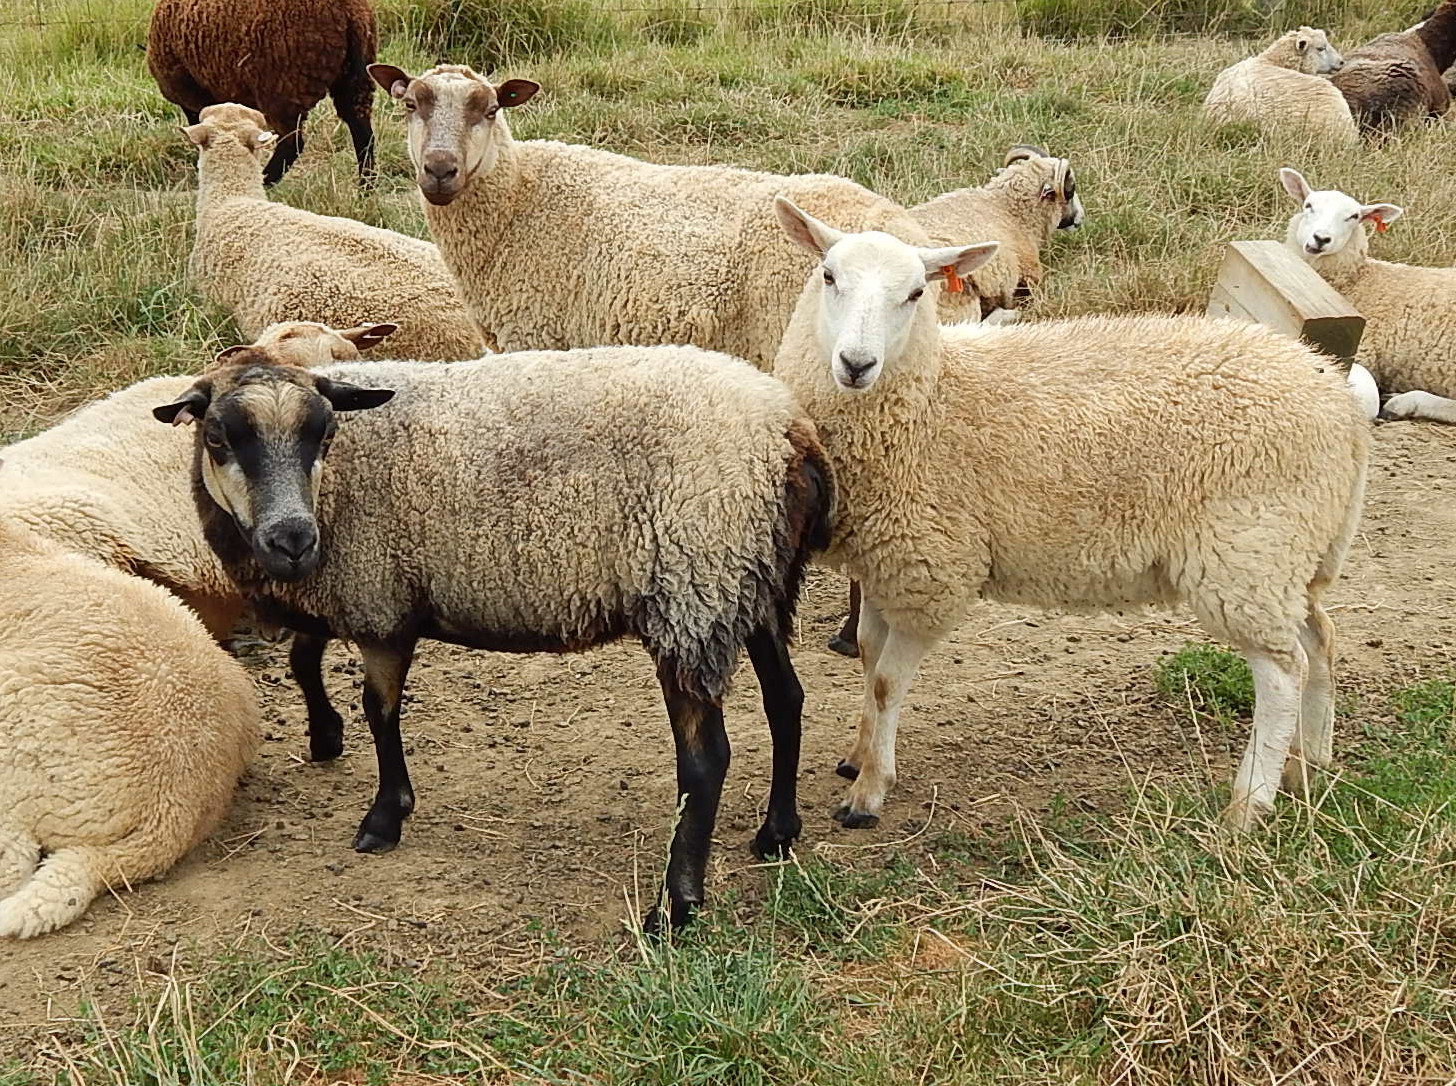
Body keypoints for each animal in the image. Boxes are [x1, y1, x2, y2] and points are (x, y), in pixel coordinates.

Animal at [147, 0, 378, 185]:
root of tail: (348, 12)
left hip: (283, 88)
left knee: (292, 145)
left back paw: (264, 181)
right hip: (355, 80)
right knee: (363, 136)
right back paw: (365, 190)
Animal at [151, 343, 833, 929]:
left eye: (324, 434)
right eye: (217, 437)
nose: (292, 539)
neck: (335, 488)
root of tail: (788, 428)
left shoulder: (380, 604)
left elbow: (379, 710)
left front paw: (384, 816)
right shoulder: (345, 593)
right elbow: (303, 658)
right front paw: (325, 736)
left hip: (693, 587)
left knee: (705, 759)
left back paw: (676, 908)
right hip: (750, 584)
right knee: (785, 699)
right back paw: (777, 832)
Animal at [366, 63, 937, 370]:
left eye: (489, 111)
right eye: (411, 105)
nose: (440, 170)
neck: (518, 198)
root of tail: (910, 237)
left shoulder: (535, 336)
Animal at [771, 199, 1369, 833]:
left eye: (914, 293)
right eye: (828, 275)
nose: (856, 363)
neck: (932, 396)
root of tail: (1340, 403)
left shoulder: (932, 570)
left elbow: (886, 683)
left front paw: (869, 791)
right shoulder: (885, 563)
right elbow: (866, 656)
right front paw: (858, 756)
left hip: (1249, 551)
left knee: (1282, 672)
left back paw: (1248, 805)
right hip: (1288, 554)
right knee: (1320, 640)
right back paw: (1310, 766)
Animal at [1277, 168, 1456, 423]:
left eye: (1353, 217)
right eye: (1308, 205)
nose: (1321, 239)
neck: (1358, 280)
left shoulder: (1361, 353)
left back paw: (1405, 403)